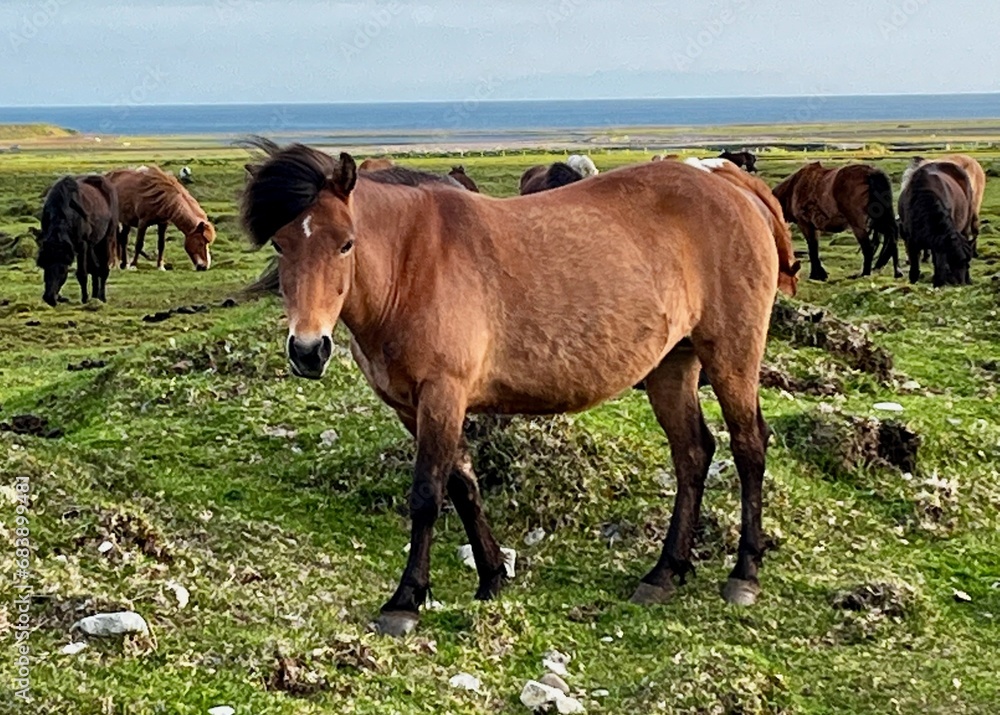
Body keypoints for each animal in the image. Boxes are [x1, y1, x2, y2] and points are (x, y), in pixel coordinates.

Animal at [36, 175, 119, 306]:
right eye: (45, 266)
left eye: (62, 270)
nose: (49, 298)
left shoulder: (81, 245)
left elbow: (82, 273)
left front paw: (84, 299)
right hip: (92, 245)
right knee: (95, 268)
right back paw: (95, 297)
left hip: (106, 239)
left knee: (103, 269)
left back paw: (102, 298)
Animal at [242, 139, 785, 636]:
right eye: (280, 244)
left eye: (346, 243)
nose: (308, 350)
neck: (411, 264)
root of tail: (731, 186)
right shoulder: (413, 406)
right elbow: (463, 484)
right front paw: (492, 577)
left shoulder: (442, 394)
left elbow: (426, 494)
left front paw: (406, 599)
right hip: (673, 364)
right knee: (692, 453)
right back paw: (665, 572)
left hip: (731, 354)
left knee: (747, 446)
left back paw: (744, 572)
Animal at [771, 162, 900, 280]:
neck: (793, 188)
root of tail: (872, 173)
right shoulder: (814, 227)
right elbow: (814, 248)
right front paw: (819, 273)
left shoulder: (805, 224)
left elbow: (812, 249)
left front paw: (817, 275)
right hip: (880, 220)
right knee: (892, 237)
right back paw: (897, 271)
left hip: (859, 225)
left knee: (868, 247)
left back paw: (865, 273)